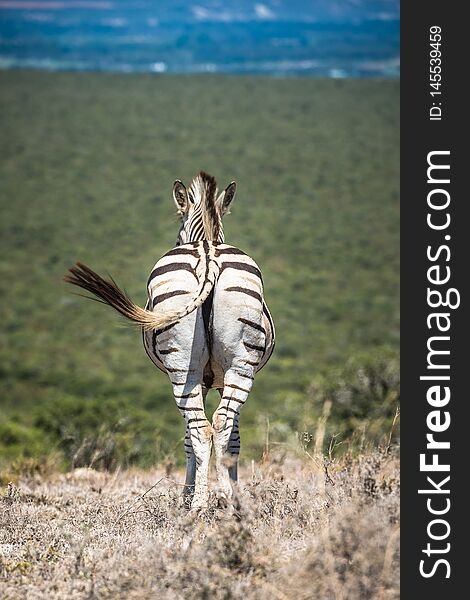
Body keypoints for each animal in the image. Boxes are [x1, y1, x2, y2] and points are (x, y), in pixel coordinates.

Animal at [64, 171, 274, 508]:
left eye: (177, 231)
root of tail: (208, 256)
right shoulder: (215, 379)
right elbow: (234, 441)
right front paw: (233, 492)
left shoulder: (206, 379)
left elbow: (194, 439)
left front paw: (188, 497)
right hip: (238, 365)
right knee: (220, 426)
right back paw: (228, 505)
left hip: (184, 367)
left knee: (201, 431)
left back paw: (198, 506)